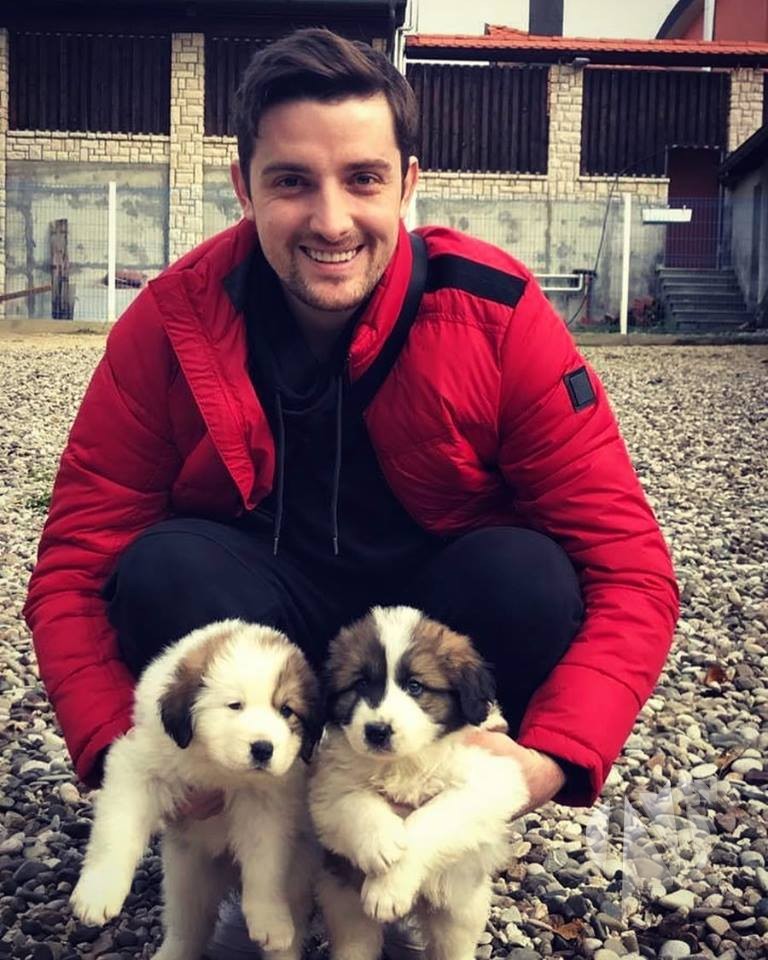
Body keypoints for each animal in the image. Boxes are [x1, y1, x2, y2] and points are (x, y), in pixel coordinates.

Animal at [70, 619, 321, 960]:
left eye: (286, 710)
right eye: (235, 705)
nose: (263, 749)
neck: (218, 768)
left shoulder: (268, 805)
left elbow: (265, 863)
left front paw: (270, 919)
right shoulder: (138, 769)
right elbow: (117, 831)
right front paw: (98, 892)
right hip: (186, 877)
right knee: (188, 927)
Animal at [309, 606, 529, 960]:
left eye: (415, 686)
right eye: (360, 684)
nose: (377, 731)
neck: (404, 763)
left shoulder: (487, 780)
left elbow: (429, 819)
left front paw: (389, 886)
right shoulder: (328, 786)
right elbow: (357, 802)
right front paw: (382, 844)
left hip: (460, 908)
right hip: (345, 906)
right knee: (355, 943)